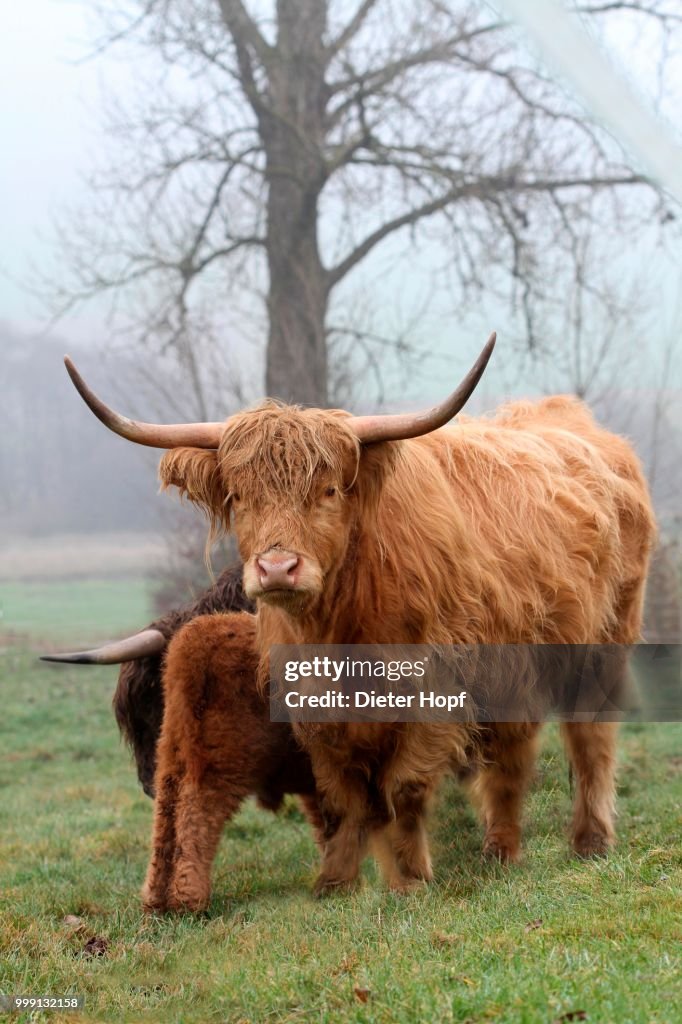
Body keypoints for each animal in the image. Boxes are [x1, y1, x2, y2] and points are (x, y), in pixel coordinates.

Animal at [62, 334, 657, 895]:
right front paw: (339, 882)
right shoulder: (313, 709)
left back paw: (588, 841)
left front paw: (410, 878)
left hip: (606, 640)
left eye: (329, 490)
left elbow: (404, 788)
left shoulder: (435, 690)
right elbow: (343, 795)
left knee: (589, 740)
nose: (277, 568)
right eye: (239, 497)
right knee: (511, 754)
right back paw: (500, 848)